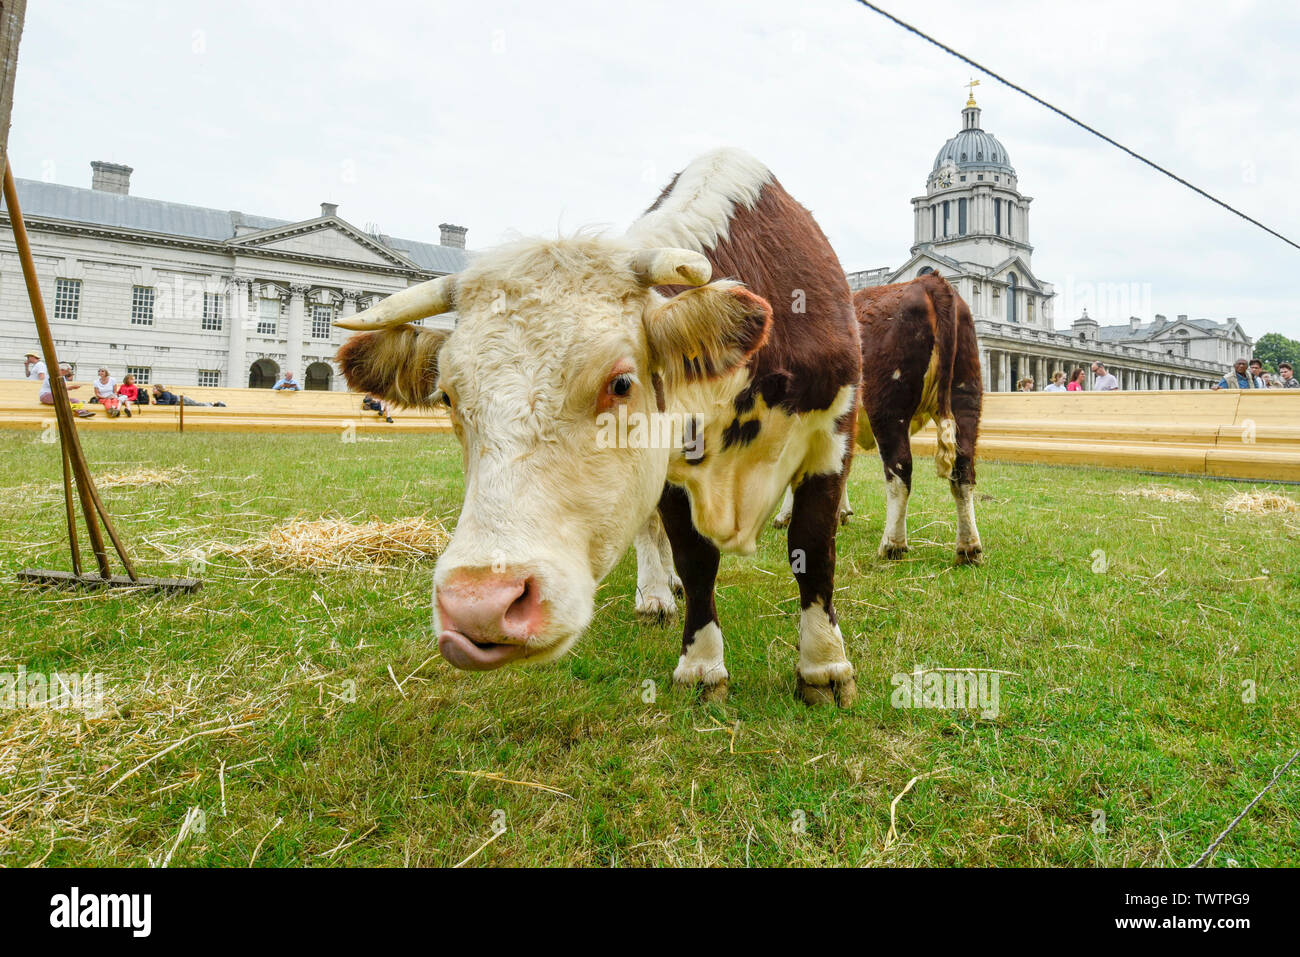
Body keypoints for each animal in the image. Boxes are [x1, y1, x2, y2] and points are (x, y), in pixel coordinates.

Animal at [335, 147, 863, 702]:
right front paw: (701, 665)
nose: (479, 605)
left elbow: (813, 546)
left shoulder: (832, 438)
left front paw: (824, 666)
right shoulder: (669, 466)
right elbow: (694, 557)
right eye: (448, 397)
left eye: (622, 382)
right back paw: (656, 593)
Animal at [764, 273, 977, 564]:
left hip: (887, 405)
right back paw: (969, 548)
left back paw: (893, 544)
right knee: (964, 467)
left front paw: (786, 516)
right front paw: (839, 512)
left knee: (900, 469)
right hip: (966, 394)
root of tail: (930, 282)